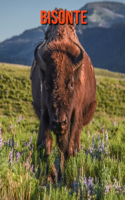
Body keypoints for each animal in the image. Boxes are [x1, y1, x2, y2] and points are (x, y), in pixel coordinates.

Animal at [30, 14, 96, 180]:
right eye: (46, 85)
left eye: (71, 84)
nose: (59, 123)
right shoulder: (45, 114)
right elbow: (45, 145)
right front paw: (51, 176)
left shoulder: (75, 114)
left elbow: (69, 148)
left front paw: (65, 176)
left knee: (68, 146)